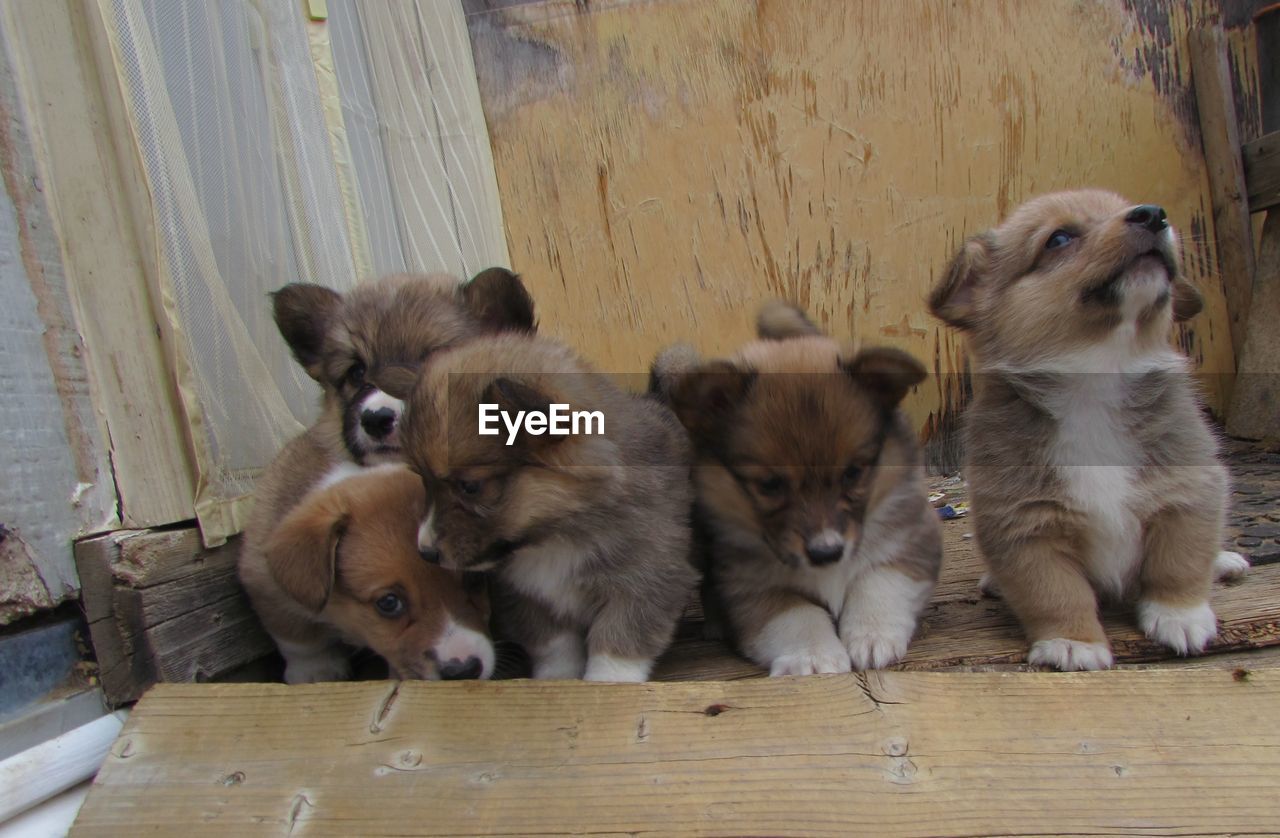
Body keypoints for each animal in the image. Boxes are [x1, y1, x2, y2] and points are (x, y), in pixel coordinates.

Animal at [240, 463, 494, 685]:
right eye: (389, 602)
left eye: (474, 579)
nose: (464, 670)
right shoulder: (265, 586)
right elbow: (299, 640)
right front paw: (315, 672)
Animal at [401, 330, 696, 685]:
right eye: (422, 480)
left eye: (470, 487)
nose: (425, 552)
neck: (557, 533)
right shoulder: (530, 598)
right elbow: (555, 647)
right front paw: (557, 680)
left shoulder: (643, 582)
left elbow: (617, 646)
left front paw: (606, 683)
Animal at [660, 304, 942, 680]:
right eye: (769, 485)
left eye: (853, 473)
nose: (827, 553)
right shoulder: (749, 587)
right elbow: (795, 615)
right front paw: (812, 657)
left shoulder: (913, 541)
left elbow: (878, 580)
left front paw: (871, 637)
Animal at [931, 186, 1249, 670]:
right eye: (1059, 239)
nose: (1154, 215)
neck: (1094, 384)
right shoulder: (1026, 526)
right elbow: (1056, 593)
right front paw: (1073, 643)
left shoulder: (1189, 492)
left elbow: (1179, 564)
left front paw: (1181, 615)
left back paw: (1224, 560)